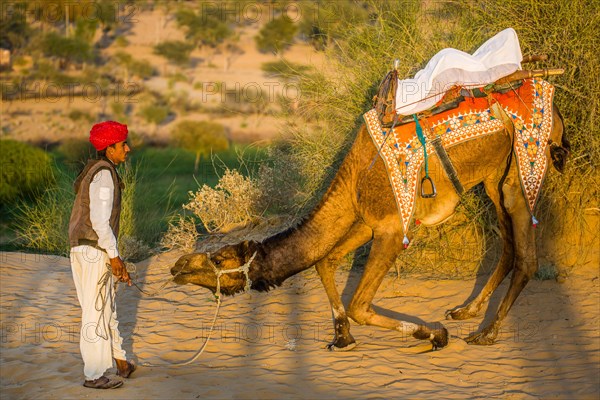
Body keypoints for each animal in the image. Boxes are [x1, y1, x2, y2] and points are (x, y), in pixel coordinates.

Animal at [169, 88, 568, 350]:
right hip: (492, 176)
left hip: (522, 169)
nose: (177, 266)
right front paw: (341, 336)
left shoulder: (392, 228)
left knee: (527, 255)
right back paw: (467, 311)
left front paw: (433, 334)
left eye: (220, 258)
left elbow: (360, 305)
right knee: (508, 245)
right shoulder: (364, 220)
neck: (353, 178)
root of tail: (554, 108)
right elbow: (325, 261)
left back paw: (487, 333)